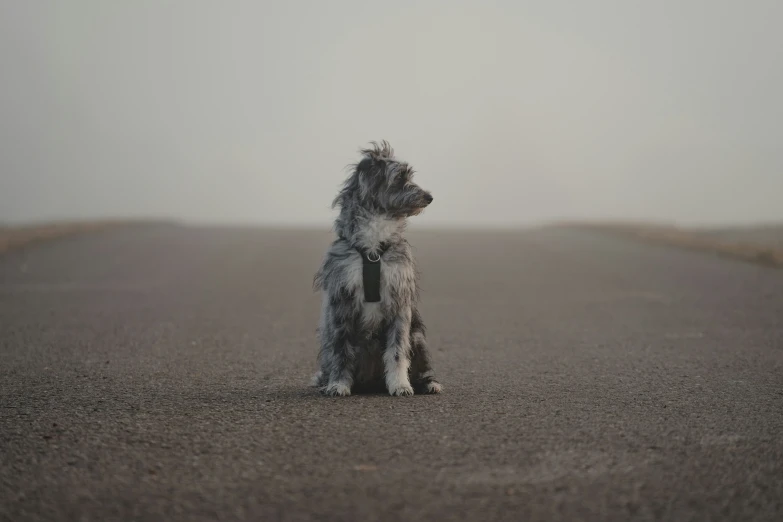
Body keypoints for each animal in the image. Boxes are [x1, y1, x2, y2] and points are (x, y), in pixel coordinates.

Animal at [314, 139, 448, 394]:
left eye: (410, 175)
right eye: (399, 178)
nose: (429, 197)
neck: (373, 250)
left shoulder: (399, 303)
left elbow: (397, 352)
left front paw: (400, 385)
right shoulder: (341, 302)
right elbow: (341, 351)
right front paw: (338, 384)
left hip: (417, 337)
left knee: (422, 365)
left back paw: (430, 383)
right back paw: (324, 381)